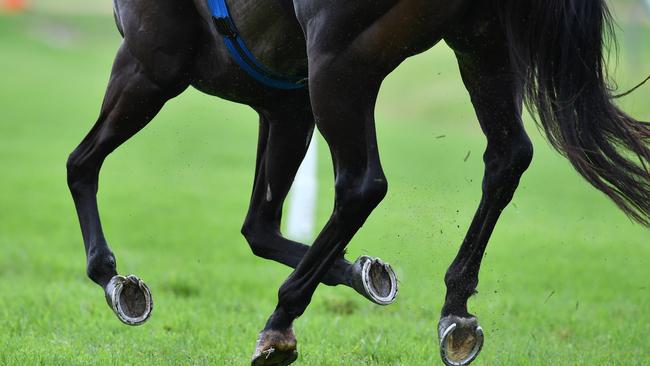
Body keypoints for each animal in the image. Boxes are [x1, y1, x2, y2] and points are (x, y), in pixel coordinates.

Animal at [67, 0, 648, 364]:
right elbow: (259, 229)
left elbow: (80, 165)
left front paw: (114, 280)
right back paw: (455, 309)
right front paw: (363, 273)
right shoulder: (285, 106)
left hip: (341, 62)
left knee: (362, 185)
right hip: (479, 42)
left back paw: (282, 319)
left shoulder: (147, 66)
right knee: (507, 157)